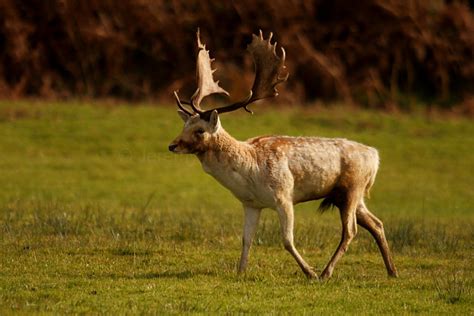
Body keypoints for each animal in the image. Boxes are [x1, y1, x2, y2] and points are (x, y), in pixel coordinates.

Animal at [168, 29, 398, 278]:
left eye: (199, 130)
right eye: (184, 125)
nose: (172, 145)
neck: (250, 172)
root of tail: (374, 156)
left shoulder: (284, 195)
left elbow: (287, 240)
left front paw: (309, 272)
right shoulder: (250, 203)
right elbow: (246, 240)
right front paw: (240, 273)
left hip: (352, 188)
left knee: (350, 231)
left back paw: (326, 272)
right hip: (345, 195)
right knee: (376, 223)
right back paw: (392, 271)